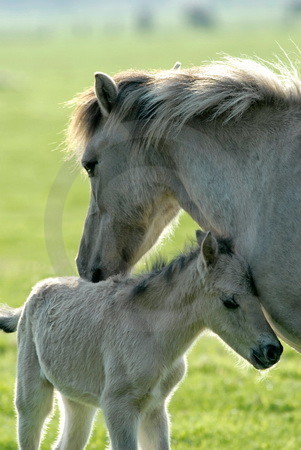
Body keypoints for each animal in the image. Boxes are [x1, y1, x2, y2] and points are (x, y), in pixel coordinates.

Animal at [0, 232, 282, 450]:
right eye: (230, 301)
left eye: (257, 294)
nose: (272, 350)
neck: (153, 334)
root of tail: (33, 294)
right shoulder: (118, 406)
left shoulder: (155, 408)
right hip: (31, 395)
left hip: (78, 400)